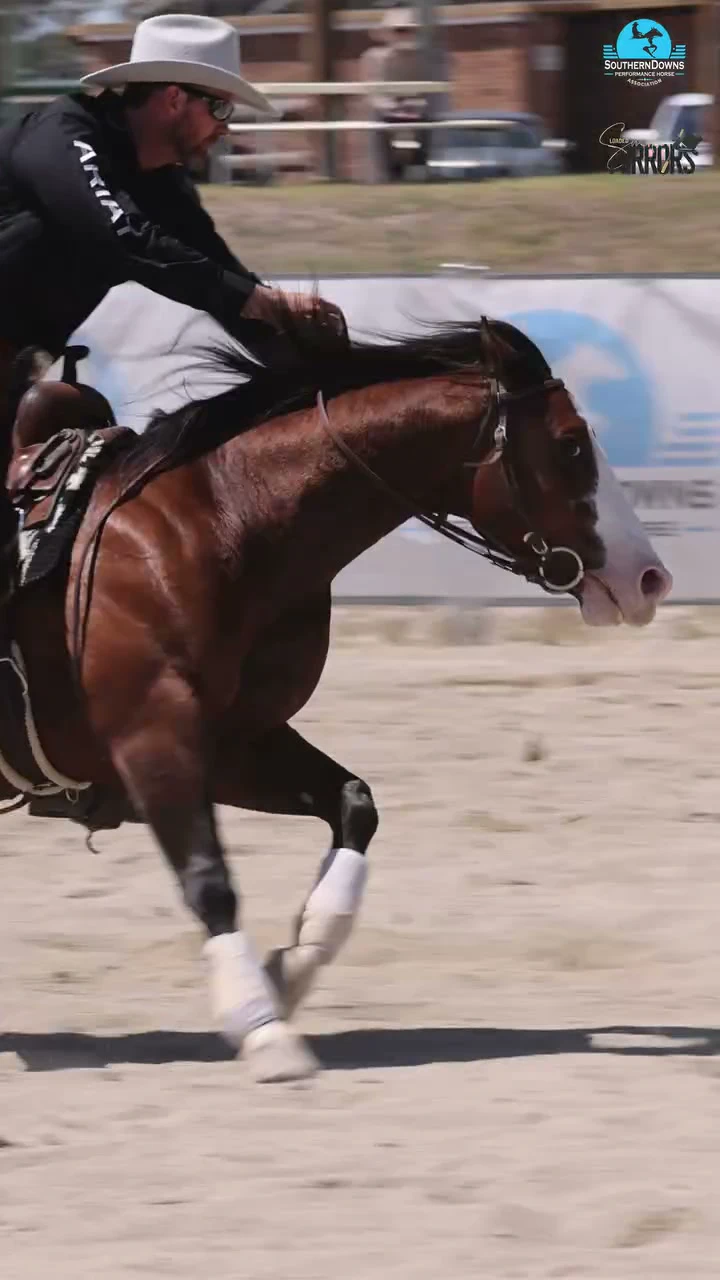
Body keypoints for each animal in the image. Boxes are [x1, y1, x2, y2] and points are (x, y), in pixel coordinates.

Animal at [1, 303, 672, 1082]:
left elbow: (355, 805)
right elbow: (209, 876)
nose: (650, 578)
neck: (217, 523)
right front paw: (263, 1029)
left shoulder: (235, 742)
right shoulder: (152, 735)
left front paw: (291, 969)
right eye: (569, 444)